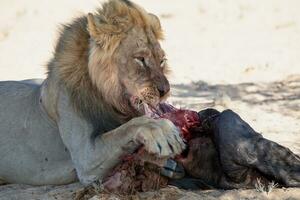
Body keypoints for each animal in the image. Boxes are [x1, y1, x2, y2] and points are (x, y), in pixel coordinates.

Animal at [0, 0, 185, 186]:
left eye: (162, 61)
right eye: (140, 59)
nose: (165, 91)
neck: (110, 99)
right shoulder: (85, 158)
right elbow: (128, 127)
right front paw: (162, 131)